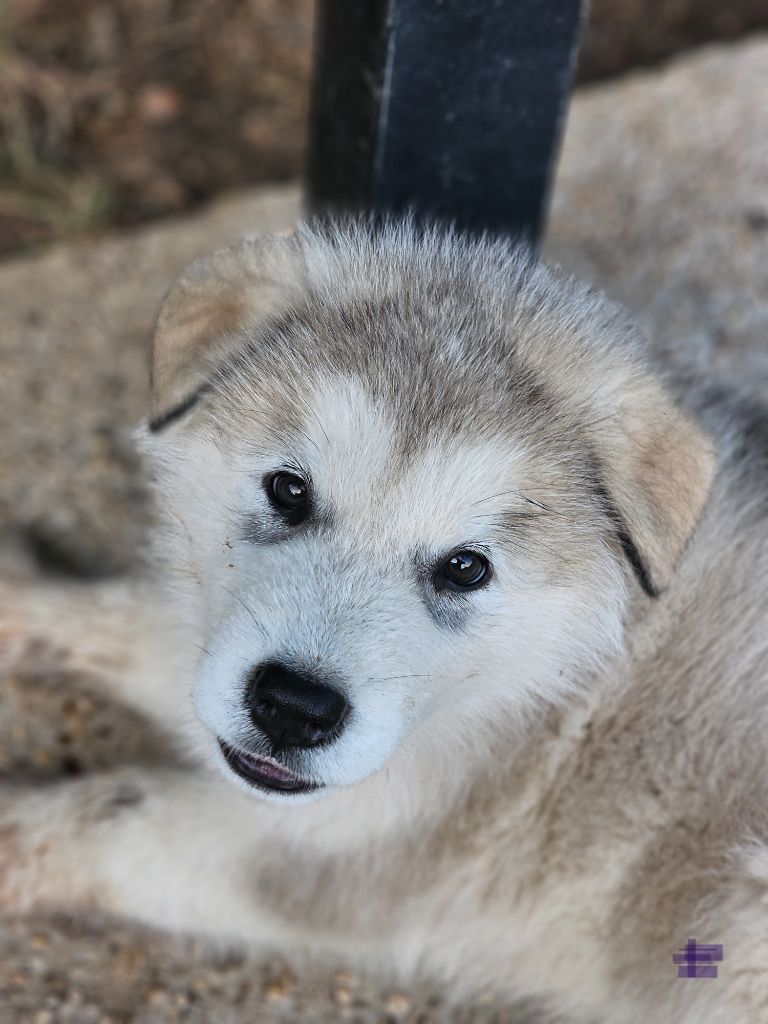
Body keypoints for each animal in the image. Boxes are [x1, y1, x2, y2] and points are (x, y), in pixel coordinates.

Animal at [1, 224, 768, 1024]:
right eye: (289, 490)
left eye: (466, 567)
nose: (293, 709)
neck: (547, 690)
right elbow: (141, 627)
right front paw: (20, 600)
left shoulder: (343, 856)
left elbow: (117, 813)